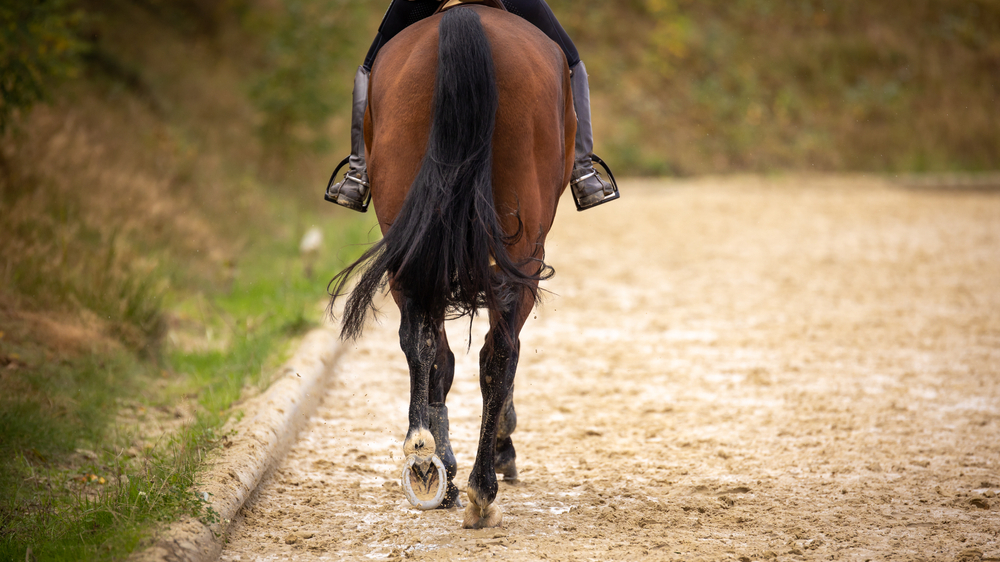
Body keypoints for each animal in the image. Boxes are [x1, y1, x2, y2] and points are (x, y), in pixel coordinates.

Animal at [332, 4, 576, 528]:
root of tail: (465, 18)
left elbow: (434, 355)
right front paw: (501, 446)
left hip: (410, 242)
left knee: (424, 345)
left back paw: (426, 462)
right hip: (524, 253)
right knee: (497, 352)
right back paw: (482, 486)